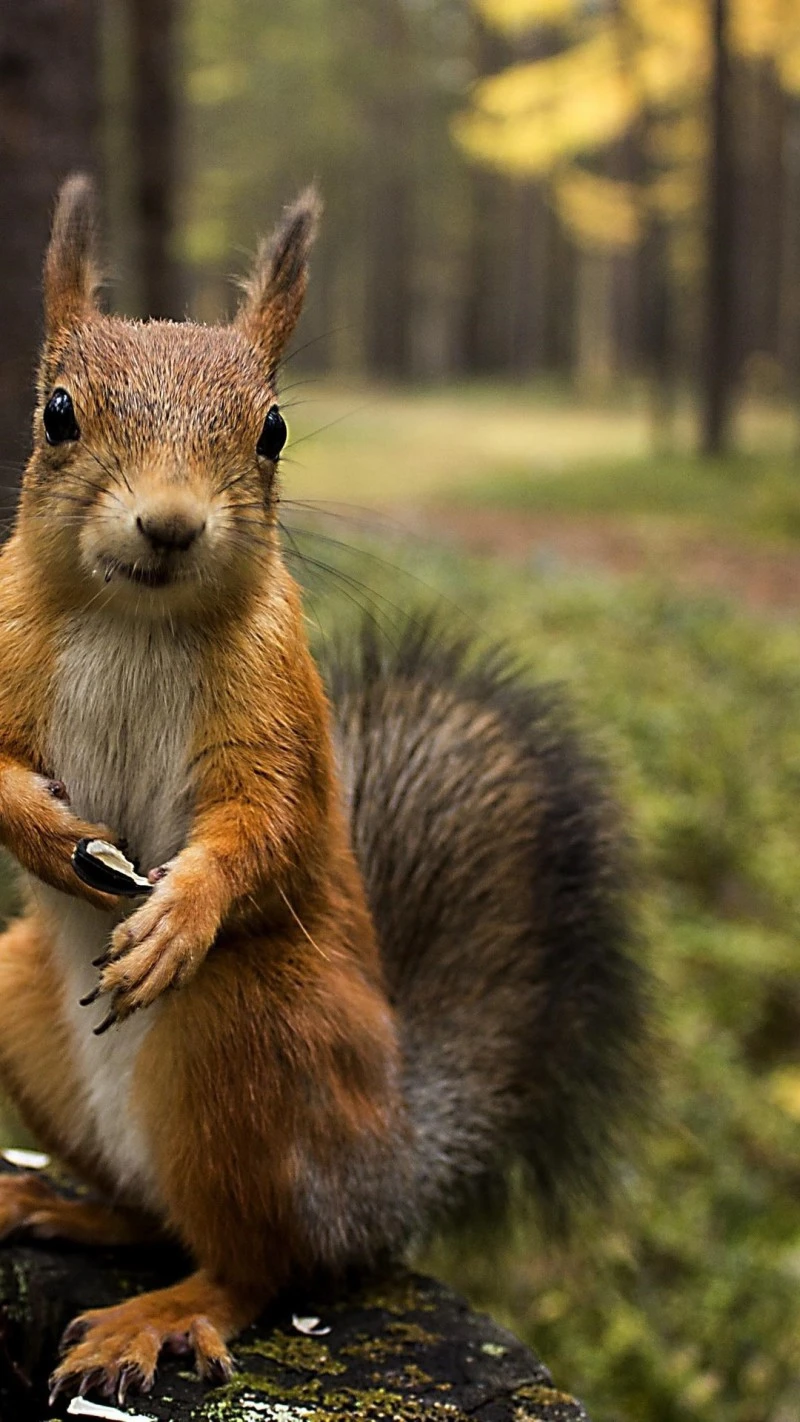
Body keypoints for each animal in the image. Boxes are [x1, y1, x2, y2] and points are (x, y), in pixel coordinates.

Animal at [0, 175, 649, 1407]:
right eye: (57, 411)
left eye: (273, 430)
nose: (170, 524)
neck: (132, 617)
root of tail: (385, 1171)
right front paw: (50, 835)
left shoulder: (281, 716)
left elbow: (268, 827)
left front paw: (180, 915)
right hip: (23, 1007)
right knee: (154, 1213)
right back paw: (60, 1204)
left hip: (251, 1040)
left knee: (257, 1262)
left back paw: (161, 1313)